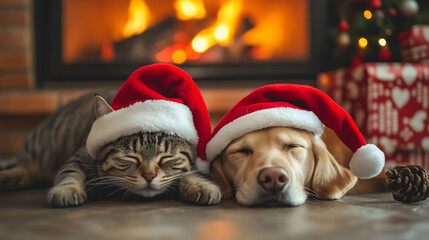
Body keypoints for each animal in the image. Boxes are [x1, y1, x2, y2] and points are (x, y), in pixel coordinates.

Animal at [0, 91, 221, 207]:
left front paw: (201, 185)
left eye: (166, 158)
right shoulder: (79, 156)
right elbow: (69, 173)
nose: (149, 176)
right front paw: (67, 189)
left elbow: (189, 172)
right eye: (131, 157)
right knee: (23, 169)